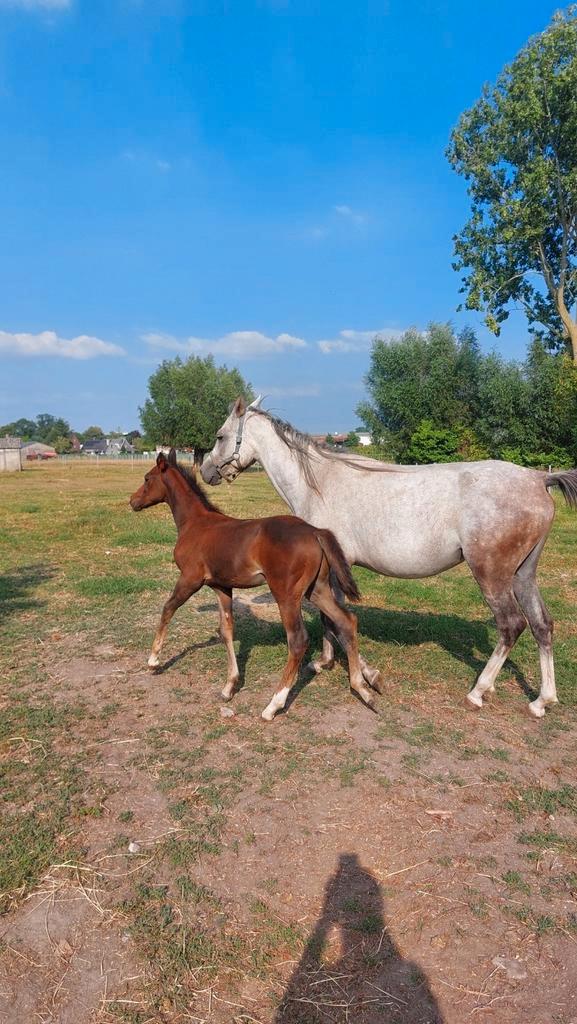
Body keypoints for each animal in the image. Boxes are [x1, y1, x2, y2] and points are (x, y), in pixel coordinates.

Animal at [129, 449, 372, 721]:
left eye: (147, 478)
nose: (132, 501)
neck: (195, 523)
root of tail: (315, 532)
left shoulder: (190, 579)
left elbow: (168, 609)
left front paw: (153, 661)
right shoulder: (222, 587)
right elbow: (226, 630)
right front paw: (229, 687)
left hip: (286, 594)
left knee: (298, 640)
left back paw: (273, 705)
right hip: (317, 590)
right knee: (347, 621)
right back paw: (362, 688)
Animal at [201, 396, 577, 718]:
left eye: (220, 436)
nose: (206, 471)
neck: (320, 483)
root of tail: (538, 478)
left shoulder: (334, 570)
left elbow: (338, 621)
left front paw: (366, 674)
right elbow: (331, 619)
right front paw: (325, 663)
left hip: (492, 575)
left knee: (511, 625)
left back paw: (478, 692)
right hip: (523, 574)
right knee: (542, 625)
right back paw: (542, 701)